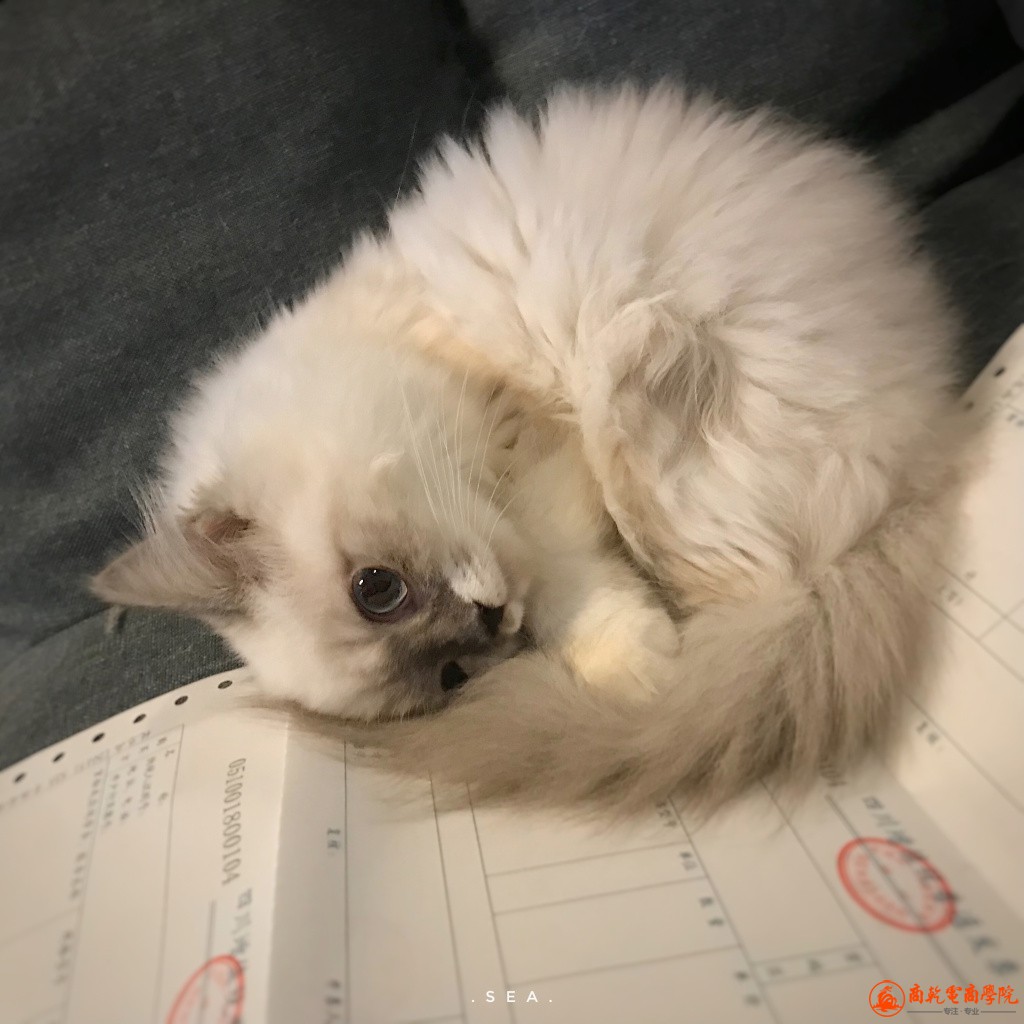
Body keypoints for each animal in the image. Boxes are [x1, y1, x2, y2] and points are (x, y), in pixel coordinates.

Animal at [92, 84, 971, 815]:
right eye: (453, 675)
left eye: (377, 589)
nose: (489, 623)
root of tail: (933, 445)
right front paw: (633, 664)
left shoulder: (531, 451)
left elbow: (561, 567)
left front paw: (635, 666)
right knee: (736, 573)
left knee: (718, 549)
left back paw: (641, 348)